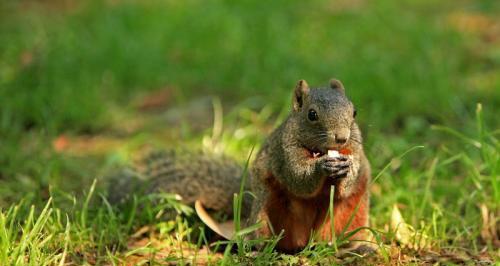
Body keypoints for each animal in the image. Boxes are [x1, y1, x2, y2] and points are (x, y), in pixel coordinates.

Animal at [112, 78, 372, 254]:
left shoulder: (356, 152)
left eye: (354, 112)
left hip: (353, 214)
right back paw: (259, 249)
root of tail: (306, 242)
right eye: (312, 114)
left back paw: (358, 247)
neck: (319, 150)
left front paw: (347, 170)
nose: (341, 138)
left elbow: (350, 179)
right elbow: (298, 177)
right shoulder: (284, 152)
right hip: (266, 210)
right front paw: (320, 167)